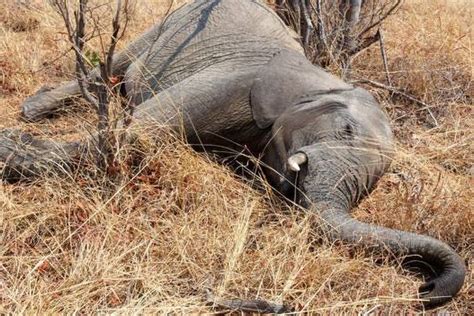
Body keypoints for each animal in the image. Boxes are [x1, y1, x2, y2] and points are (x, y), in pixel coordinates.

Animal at [0, 0, 466, 310]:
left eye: (372, 186)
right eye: (345, 130)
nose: (424, 289)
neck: (321, 80)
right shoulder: (238, 82)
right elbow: (139, 134)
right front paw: (9, 148)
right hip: (170, 23)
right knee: (113, 66)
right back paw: (33, 111)